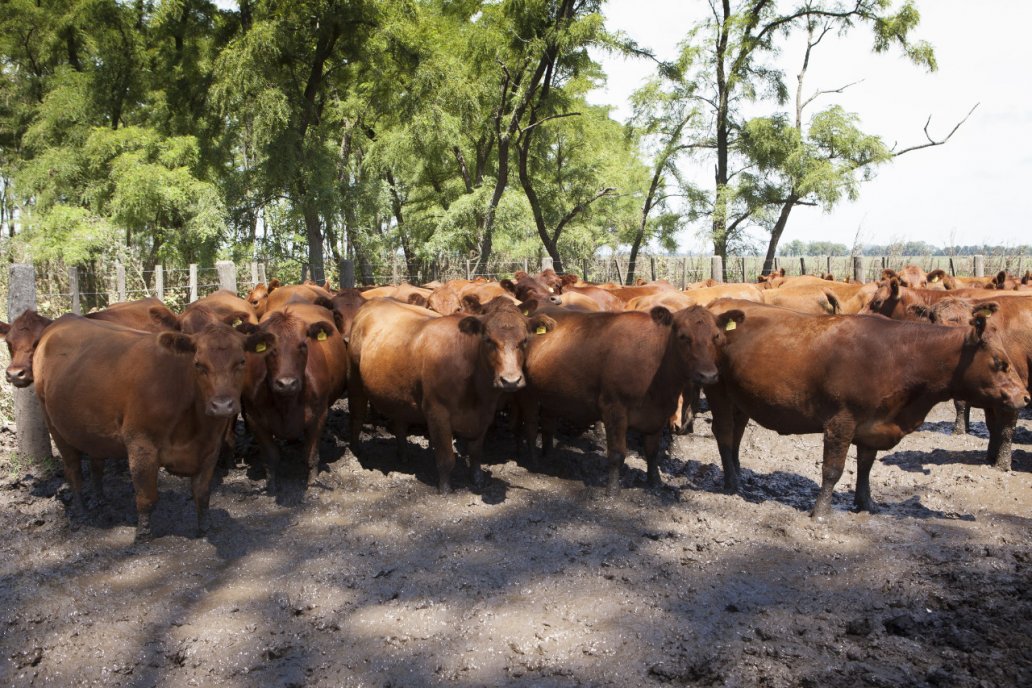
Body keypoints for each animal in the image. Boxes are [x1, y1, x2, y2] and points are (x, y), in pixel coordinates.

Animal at [242, 303, 350, 493]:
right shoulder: (254, 419)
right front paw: (271, 484)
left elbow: (311, 454)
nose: (287, 383)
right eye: (269, 347)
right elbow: (270, 456)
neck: (286, 404)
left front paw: (312, 481)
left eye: (303, 345)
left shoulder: (319, 415)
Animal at [346, 299, 549, 493]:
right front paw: (444, 487)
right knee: (357, 415)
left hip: (397, 393)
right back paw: (356, 450)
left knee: (399, 423)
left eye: (524, 340)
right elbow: (446, 457)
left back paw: (403, 455)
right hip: (355, 381)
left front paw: (478, 479)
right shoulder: (437, 412)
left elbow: (476, 452)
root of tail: (373, 302)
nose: (510, 380)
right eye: (488, 340)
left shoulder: (485, 414)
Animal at [516, 303, 743, 493]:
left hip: (550, 394)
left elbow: (652, 451)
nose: (708, 375)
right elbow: (617, 453)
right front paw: (612, 490)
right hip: (527, 393)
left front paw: (655, 482)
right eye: (683, 336)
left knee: (548, 423)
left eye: (716, 336)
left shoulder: (659, 413)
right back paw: (534, 461)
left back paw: (549, 455)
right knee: (530, 426)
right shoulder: (614, 408)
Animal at [705, 299, 1027, 519]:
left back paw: (738, 475)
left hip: (740, 399)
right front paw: (821, 513)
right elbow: (833, 470)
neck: (900, 356)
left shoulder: (873, 425)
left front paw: (866, 503)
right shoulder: (841, 421)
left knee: (735, 435)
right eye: (1000, 362)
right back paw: (732, 483)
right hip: (717, 390)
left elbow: (865, 466)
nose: (1025, 397)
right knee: (723, 433)